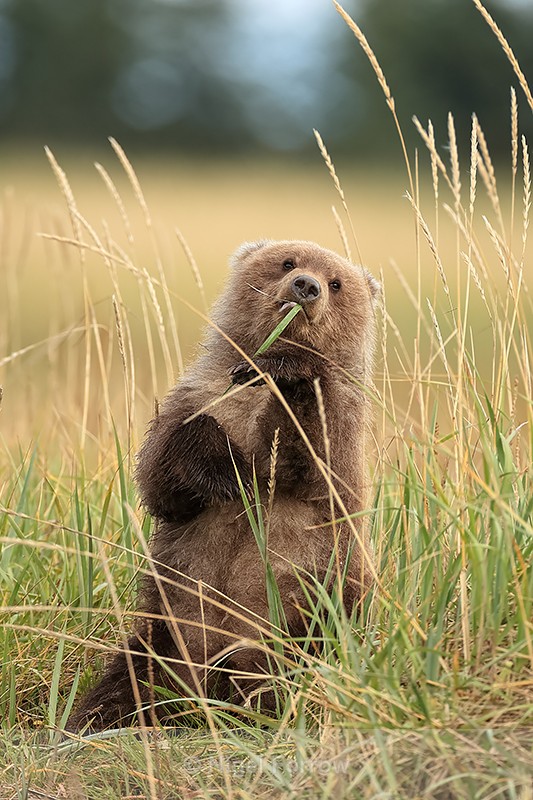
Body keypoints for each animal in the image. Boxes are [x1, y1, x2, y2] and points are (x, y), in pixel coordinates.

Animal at [67, 239, 380, 732]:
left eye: (336, 282)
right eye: (288, 261)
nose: (305, 286)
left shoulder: (340, 442)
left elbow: (305, 455)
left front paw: (287, 367)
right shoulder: (198, 395)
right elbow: (166, 475)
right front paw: (227, 473)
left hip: (307, 623)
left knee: (293, 674)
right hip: (167, 631)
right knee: (130, 678)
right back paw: (96, 718)